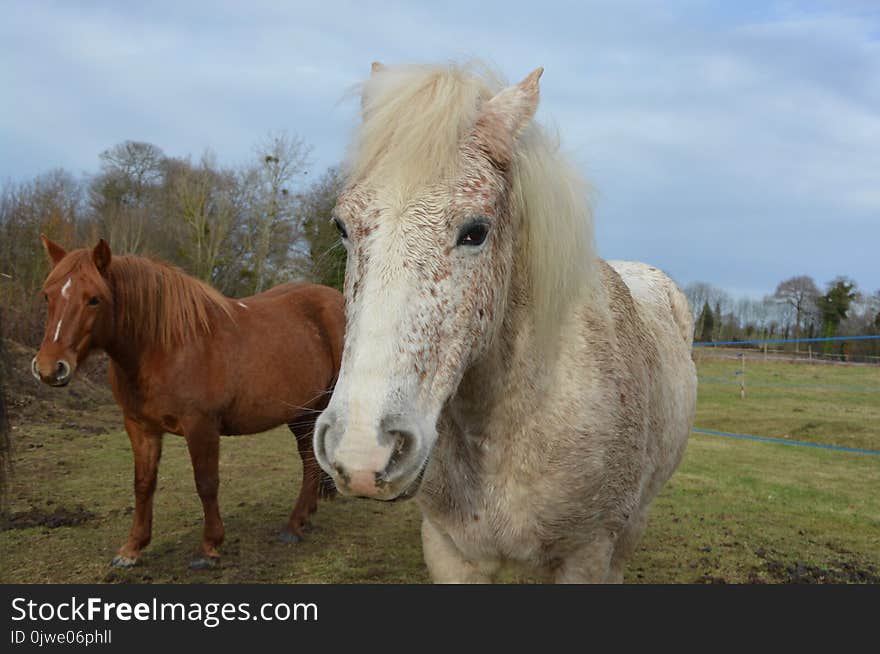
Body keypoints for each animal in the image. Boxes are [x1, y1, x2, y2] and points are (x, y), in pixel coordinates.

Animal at [31, 238, 342, 572]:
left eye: (94, 299)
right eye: (47, 294)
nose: (50, 368)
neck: (165, 347)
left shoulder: (201, 425)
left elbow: (206, 483)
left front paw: (209, 547)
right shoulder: (140, 427)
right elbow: (143, 483)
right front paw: (132, 548)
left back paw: (295, 524)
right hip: (301, 410)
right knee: (309, 457)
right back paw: (300, 520)